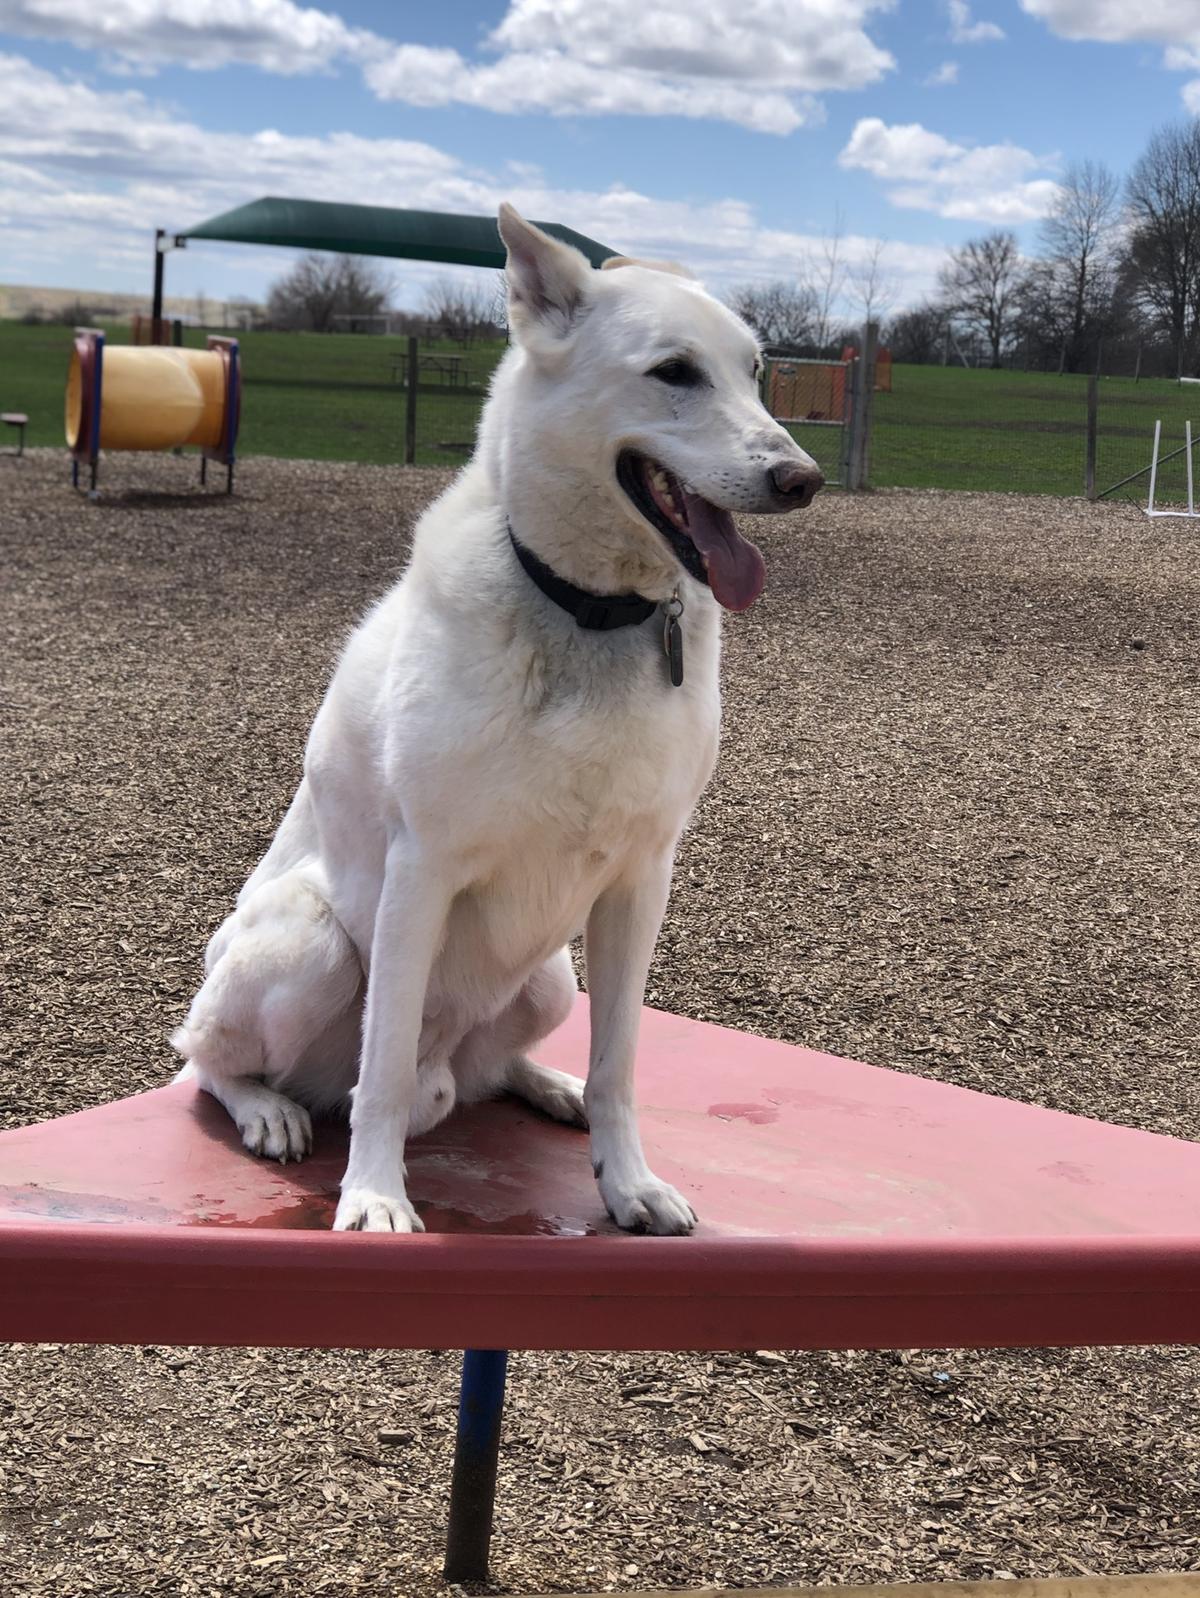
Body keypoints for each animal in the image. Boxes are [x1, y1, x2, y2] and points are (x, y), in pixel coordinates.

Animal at [173, 206, 824, 1233]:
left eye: (756, 370)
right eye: (674, 372)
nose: (803, 478)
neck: (590, 610)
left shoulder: (641, 878)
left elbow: (620, 1061)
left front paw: (626, 1180)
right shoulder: (421, 873)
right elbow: (384, 1069)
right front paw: (374, 1194)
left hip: (551, 975)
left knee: (484, 1071)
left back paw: (546, 1085)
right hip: (309, 943)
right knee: (214, 1060)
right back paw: (270, 1109)